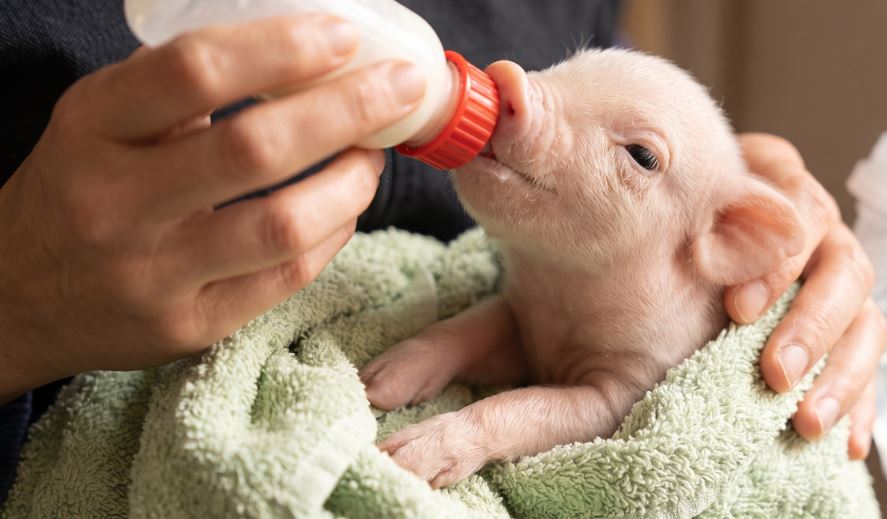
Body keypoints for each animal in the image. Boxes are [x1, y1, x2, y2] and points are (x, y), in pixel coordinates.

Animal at [358, 48, 805, 489]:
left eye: (644, 156)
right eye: (570, 65)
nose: (509, 76)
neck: (563, 303)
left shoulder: (633, 387)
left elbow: (529, 404)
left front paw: (402, 459)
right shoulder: (520, 317)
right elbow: (468, 327)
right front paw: (376, 381)